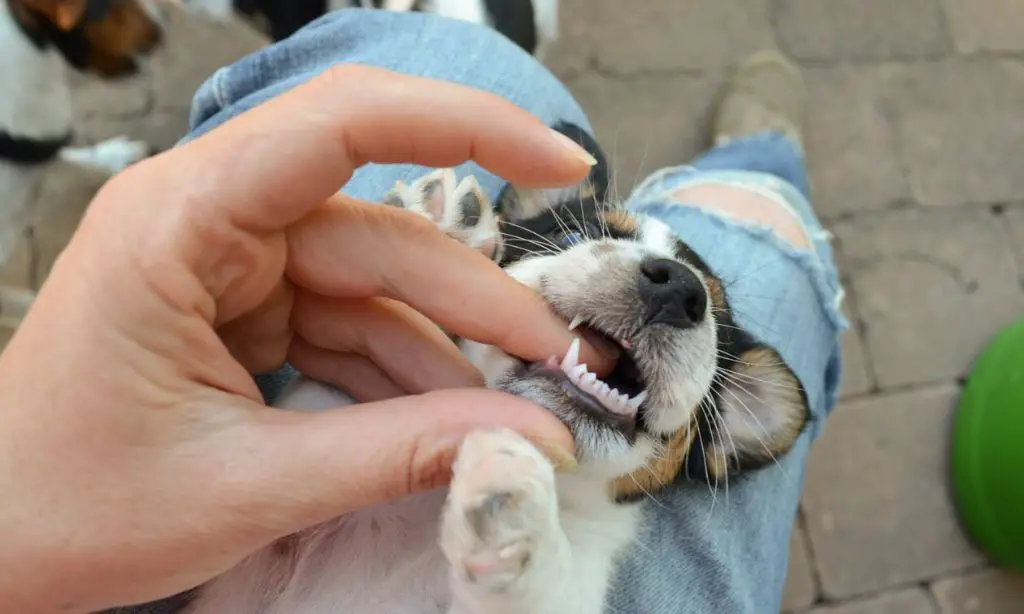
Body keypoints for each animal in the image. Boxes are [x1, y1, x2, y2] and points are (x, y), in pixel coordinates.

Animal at [157, 123, 806, 614]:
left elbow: (541, 586)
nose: (678, 289)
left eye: (714, 318)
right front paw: (437, 230)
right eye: (583, 234)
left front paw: (515, 492)